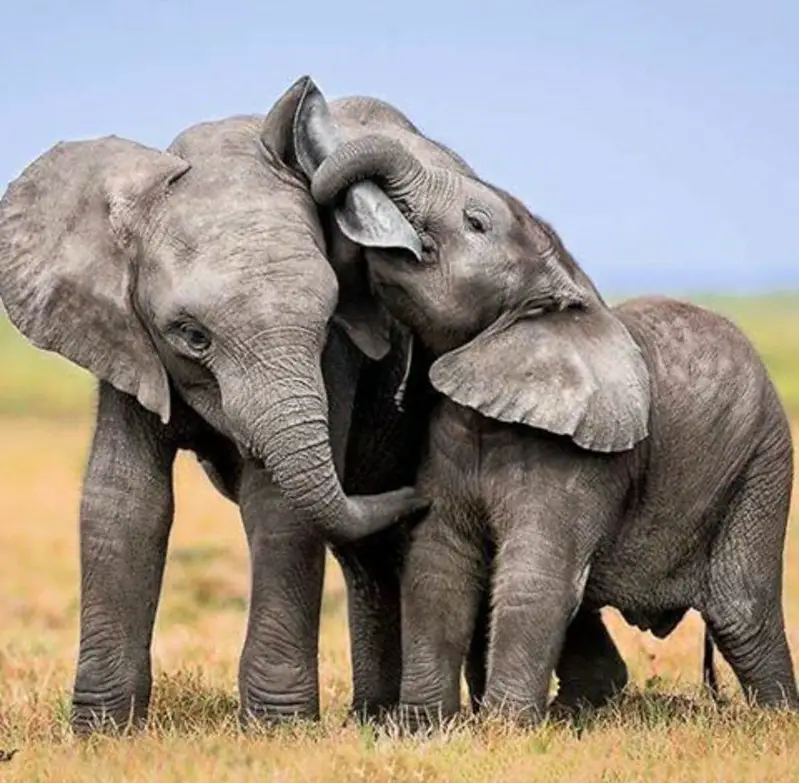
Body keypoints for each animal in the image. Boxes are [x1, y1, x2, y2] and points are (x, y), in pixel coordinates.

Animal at [0, 76, 482, 732]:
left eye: (326, 316)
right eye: (191, 336)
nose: (416, 496)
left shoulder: (335, 357)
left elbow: (277, 504)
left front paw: (279, 730)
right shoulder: (125, 335)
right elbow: (124, 500)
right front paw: (102, 734)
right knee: (368, 558)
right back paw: (373, 720)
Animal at [304, 130, 796, 728]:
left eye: (475, 223)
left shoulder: (575, 458)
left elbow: (535, 576)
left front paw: (502, 730)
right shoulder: (447, 439)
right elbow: (439, 566)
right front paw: (421, 728)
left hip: (761, 465)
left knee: (740, 610)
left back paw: (778, 717)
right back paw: (573, 714)